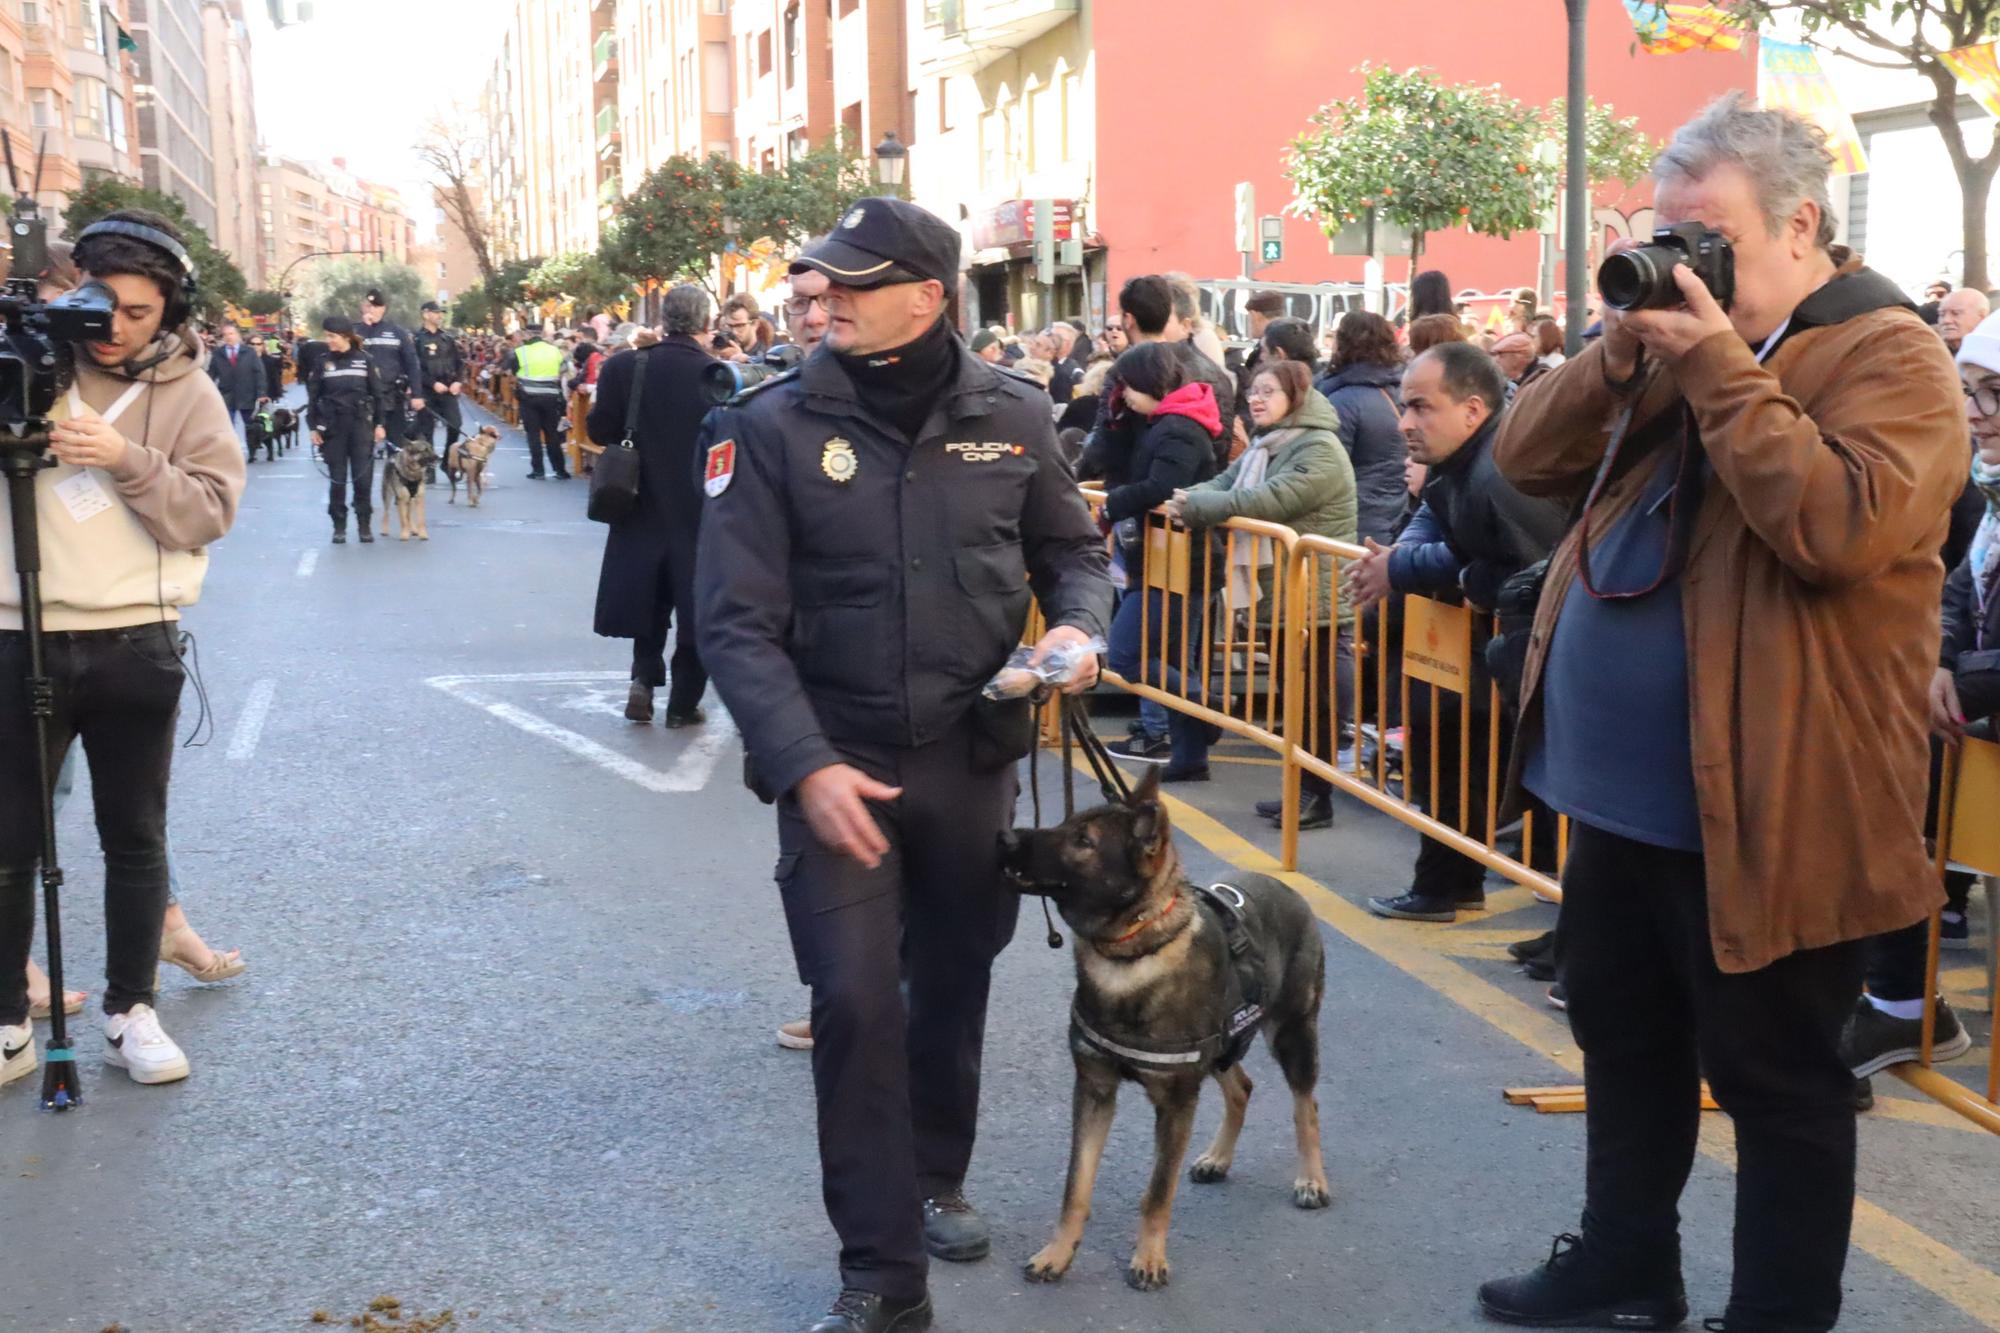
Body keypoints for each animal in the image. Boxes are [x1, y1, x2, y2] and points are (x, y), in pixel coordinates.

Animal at [996, 764, 1328, 1288]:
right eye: (1067, 824)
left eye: (1084, 841)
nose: (1004, 837)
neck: (1130, 952)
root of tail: (1286, 887)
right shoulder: (1094, 1091)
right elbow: (1076, 1186)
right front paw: (1058, 1253)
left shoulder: (1175, 1104)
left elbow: (1157, 1191)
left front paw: (1149, 1258)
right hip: (1222, 1047)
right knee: (1242, 1087)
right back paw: (1218, 1158)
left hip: (1292, 1036)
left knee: (1305, 1105)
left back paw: (1312, 1179)